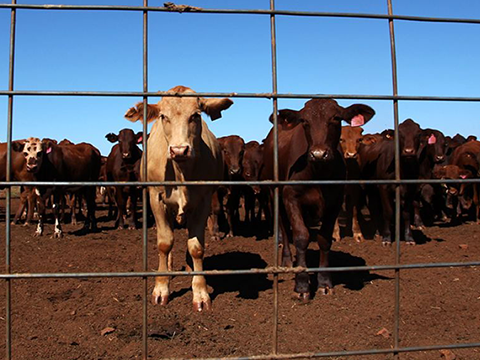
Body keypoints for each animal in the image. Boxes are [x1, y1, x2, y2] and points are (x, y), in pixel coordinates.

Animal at [124, 85, 233, 312]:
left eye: (196, 115)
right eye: (163, 116)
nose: (179, 149)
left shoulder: (204, 200)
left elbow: (196, 247)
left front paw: (200, 290)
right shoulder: (156, 197)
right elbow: (165, 242)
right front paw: (161, 287)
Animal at [262, 97, 376, 298]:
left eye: (336, 118)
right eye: (305, 121)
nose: (318, 154)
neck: (318, 173)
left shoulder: (335, 202)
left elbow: (324, 239)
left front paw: (324, 282)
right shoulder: (291, 197)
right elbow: (301, 236)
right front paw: (302, 285)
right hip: (275, 194)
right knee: (284, 228)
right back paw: (287, 261)